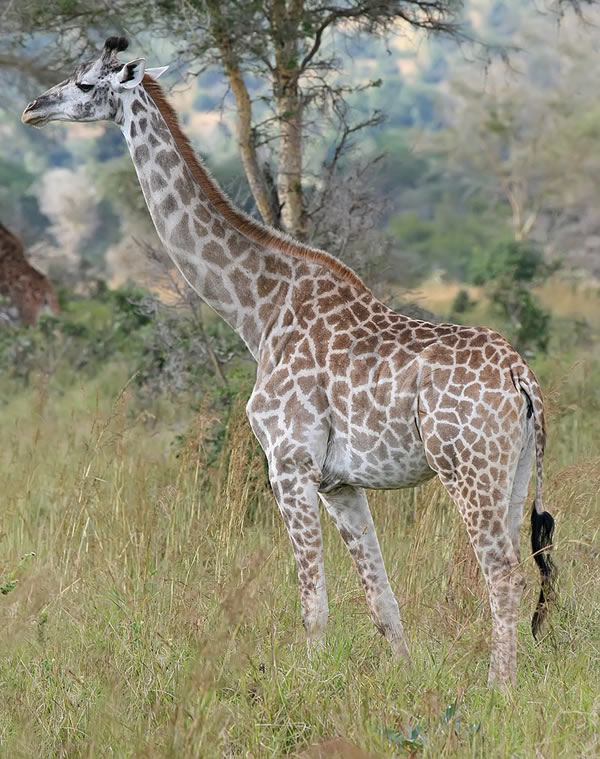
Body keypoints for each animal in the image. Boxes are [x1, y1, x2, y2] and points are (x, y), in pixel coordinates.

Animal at [22, 37, 556, 686]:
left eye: (83, 83)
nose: (31, 109)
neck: (258, 312)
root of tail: (521, 378)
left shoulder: (288, 463)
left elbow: (313, 604)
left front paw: (308, 688)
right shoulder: (340, 482)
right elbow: (382, 601)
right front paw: (405, 680)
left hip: (467, 466)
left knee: (502, 572)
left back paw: (498, 690)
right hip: (515, 468)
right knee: (517, 567)